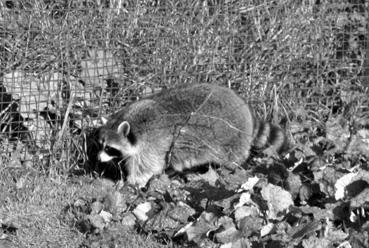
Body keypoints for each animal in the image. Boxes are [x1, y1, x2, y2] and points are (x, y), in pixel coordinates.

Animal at [96, 83, 286, 186]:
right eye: (100, 144)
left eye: (109, 148)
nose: (98, 158)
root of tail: (245, 109)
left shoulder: (153, 144)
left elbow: (148, 166)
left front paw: (134, 181)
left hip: (229, 139)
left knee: (230, 157)